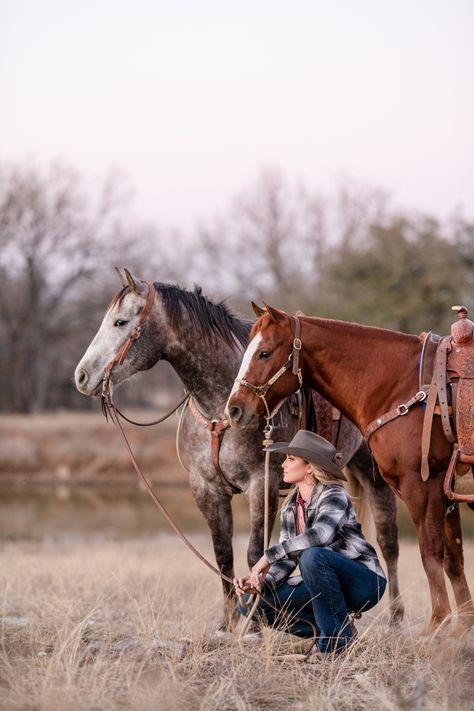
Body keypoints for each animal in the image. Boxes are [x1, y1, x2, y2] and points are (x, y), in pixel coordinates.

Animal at [75, 272, 404, 628]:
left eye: (121, 322)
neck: (220, 409)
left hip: (375, 473)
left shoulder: (262, 486)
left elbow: (254, 554)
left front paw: (253, 625)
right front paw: (228, 622)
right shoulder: (206, 489)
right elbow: (223, 555)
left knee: (388, 540)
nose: (82, 376)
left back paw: (396, 617)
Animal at [225, 304, 474, 632]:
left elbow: (431, 554)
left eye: (264, 353)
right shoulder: (445, 492)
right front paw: (461, 629)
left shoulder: (422, 487)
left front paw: (437, 627)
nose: (234, 409)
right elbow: (453, 557)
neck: (402, 386)